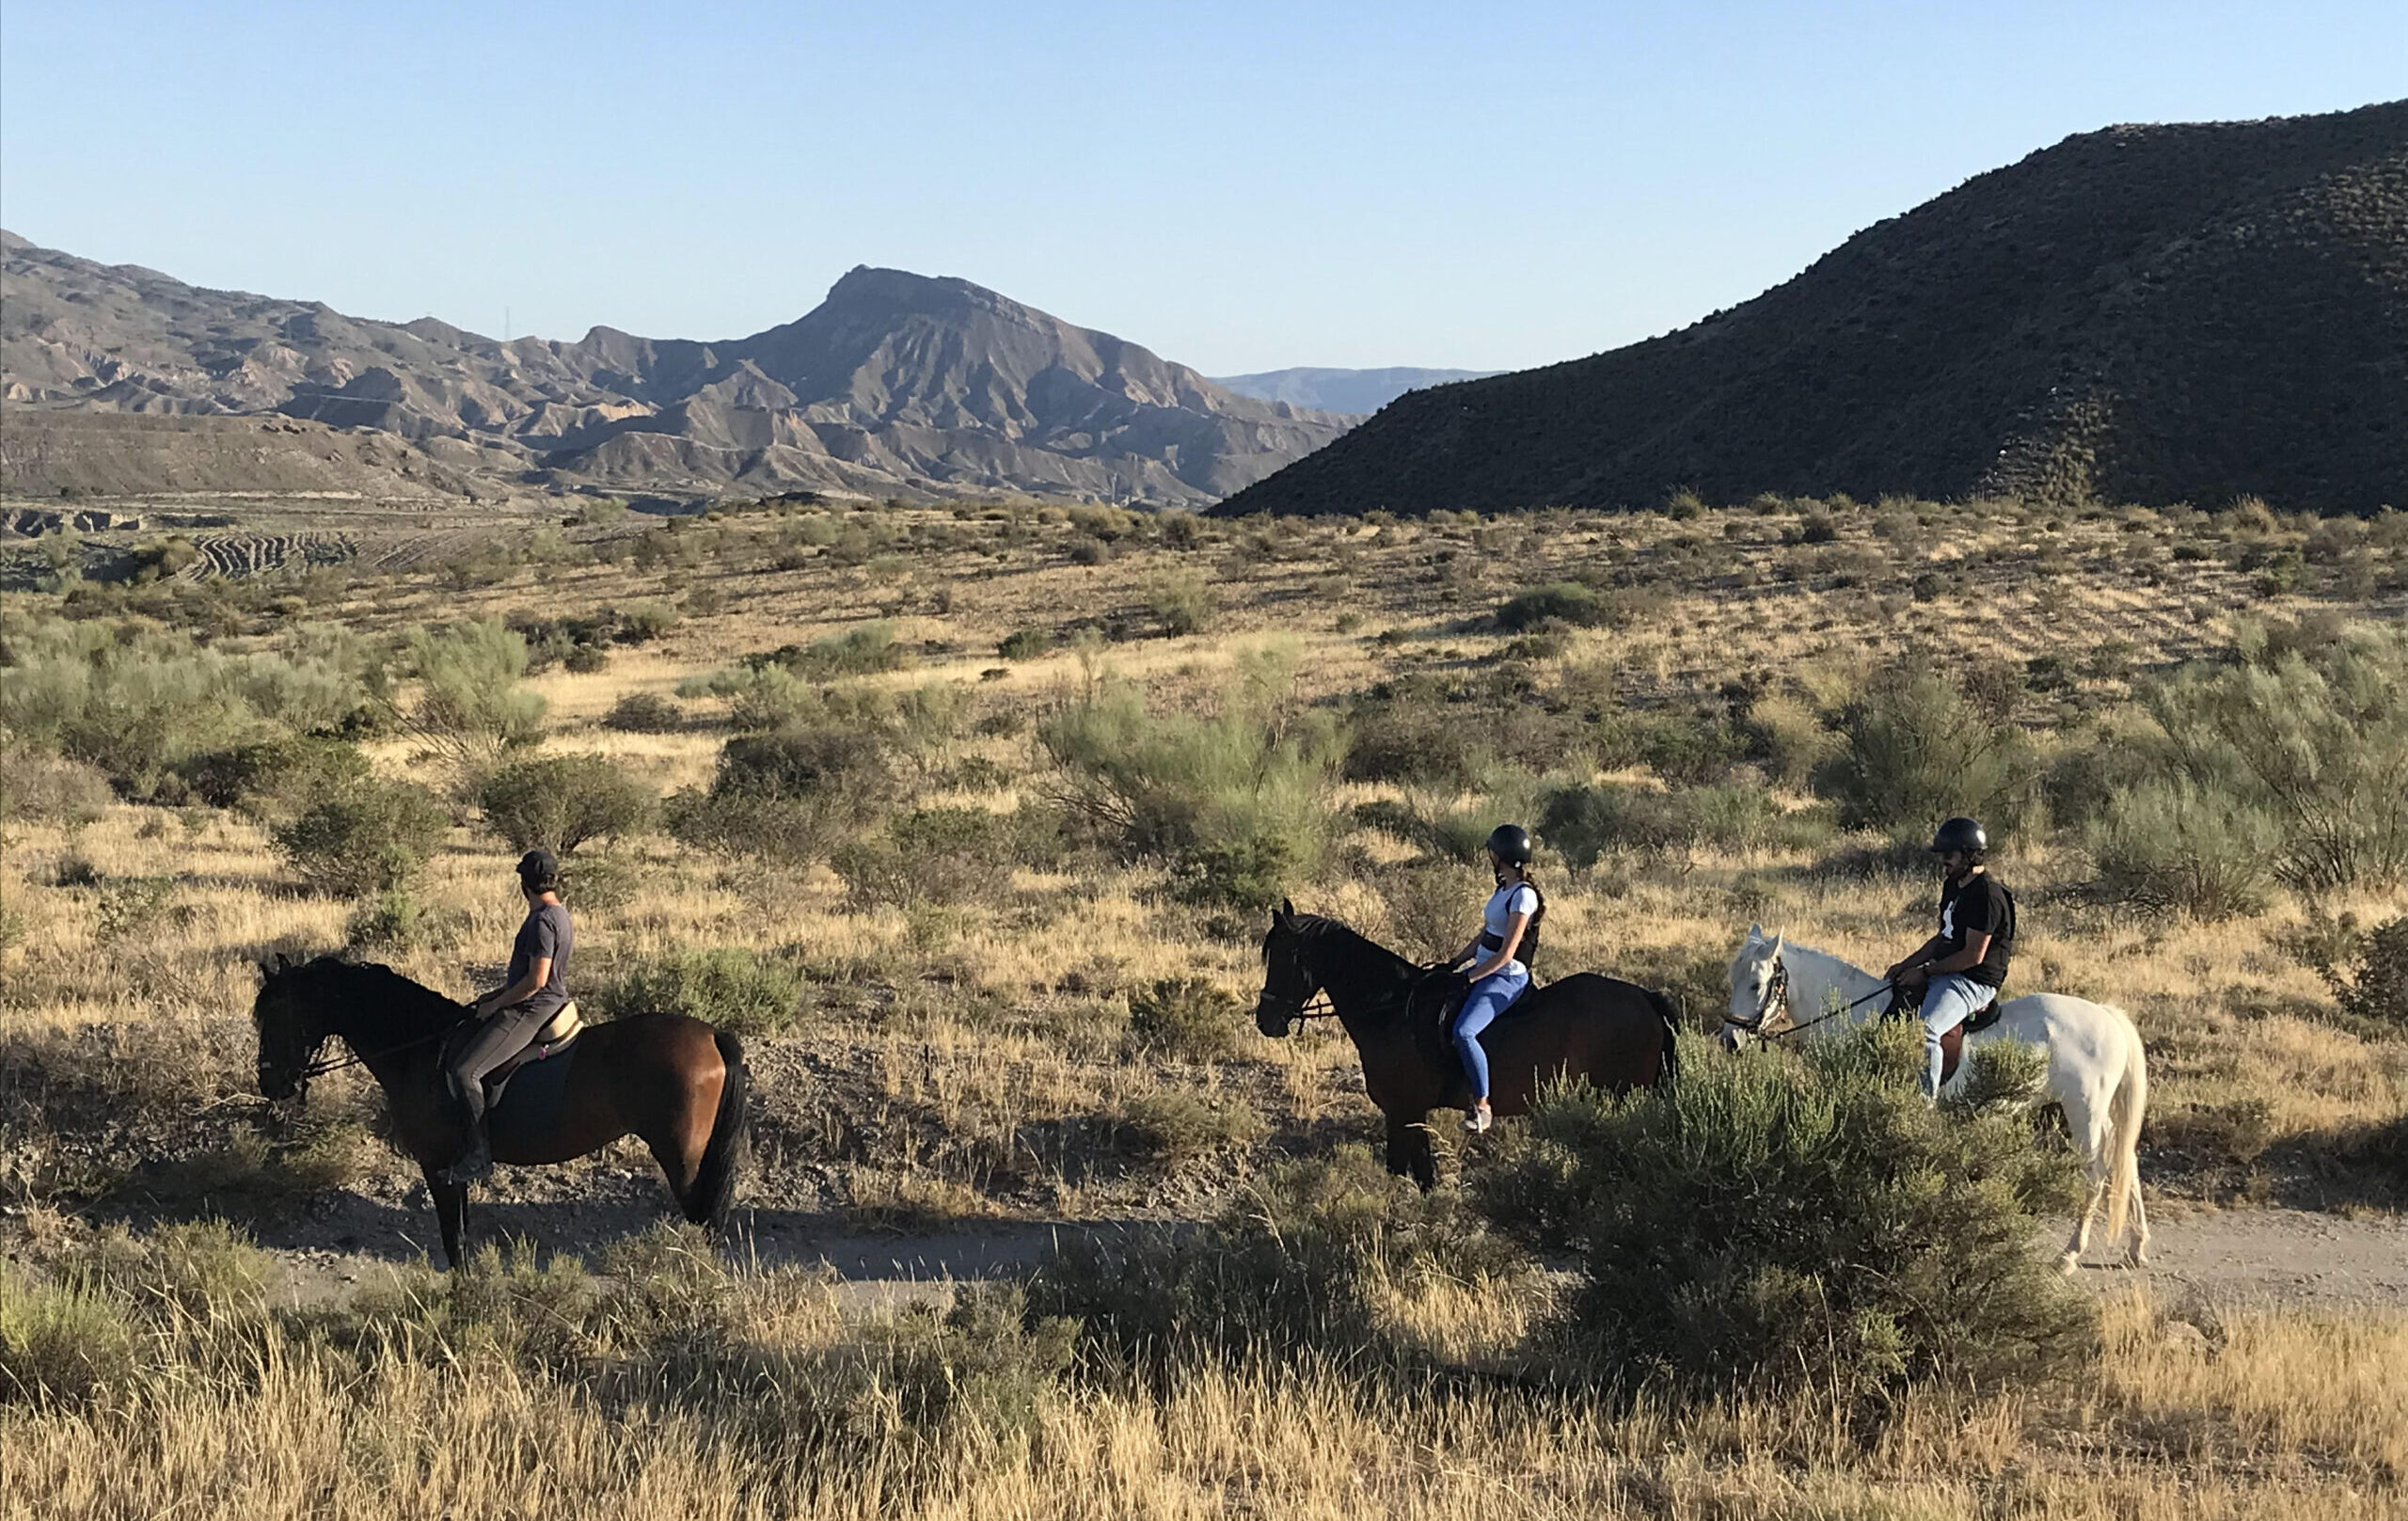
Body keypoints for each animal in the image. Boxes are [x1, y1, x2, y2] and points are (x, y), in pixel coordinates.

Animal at [250, 958, 746, 1260]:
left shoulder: (438, 1165)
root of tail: (711, 1034)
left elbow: (453, 1241)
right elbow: (462, 1236)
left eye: (278, 1016)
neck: (419, 1047)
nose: (270, 1084)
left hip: (683, 1159)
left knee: (705, 1220)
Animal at [1261, 905, 1675, 1188]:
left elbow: (1410, 1175)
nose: (1264, 1021)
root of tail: (1645, 997)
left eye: (1285, 958)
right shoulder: (1407, 1113)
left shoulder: (1404, 1110)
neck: (1391, 1008)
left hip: (1622, 1096)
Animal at [1723, 928, 2157, 1270]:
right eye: (1732, 978)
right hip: (2102, 1113)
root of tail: (2107, 1014)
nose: (1730, 1040)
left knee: (2096, 1173)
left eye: (1756, 984)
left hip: (2084, 1110)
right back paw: (2136, 1246)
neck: (1855, 1013)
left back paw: (2069, 1254)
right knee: (2127, 1159)